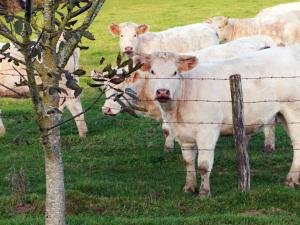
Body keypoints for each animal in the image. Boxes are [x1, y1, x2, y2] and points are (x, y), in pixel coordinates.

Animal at [99, 35, 278, 153]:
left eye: (121, 89)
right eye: (106, 88)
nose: (105, 110)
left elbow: (166, 129)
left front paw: (168, 148)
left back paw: (268, 146)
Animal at [135, 46, 300, 197]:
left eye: (175, 72)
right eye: (153, 72)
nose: (163, 92)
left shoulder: (208, 131)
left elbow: (203, 164)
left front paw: (204, 192)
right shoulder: (183, 135)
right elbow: (188, 162)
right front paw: (189, 188)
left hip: (294, 111)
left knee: (297, 144)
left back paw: (291, 180)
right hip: (282, 115)